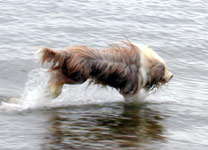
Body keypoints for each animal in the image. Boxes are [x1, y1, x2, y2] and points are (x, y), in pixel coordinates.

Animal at [37, 40, 172, 99]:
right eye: (164, 69)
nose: (172, 76)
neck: (145, 66)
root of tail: (68, 53)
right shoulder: (130, 88)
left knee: (56, 75)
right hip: (79, 76)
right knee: (57, 77)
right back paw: (53, 91)